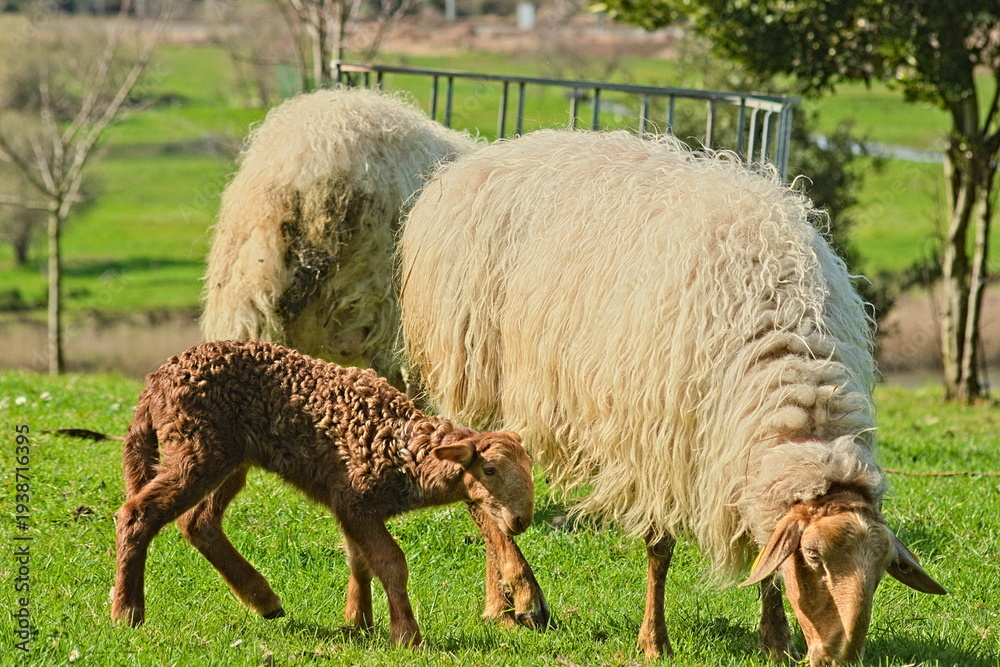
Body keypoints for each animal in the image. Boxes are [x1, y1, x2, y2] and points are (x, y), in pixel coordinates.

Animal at [110, 339, 534, 647]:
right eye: (489, 470)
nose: (521, 520)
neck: (404, 451)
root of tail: (154, 382)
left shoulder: (347, 505)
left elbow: (359, 561)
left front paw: (359, 622)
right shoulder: (356, 500)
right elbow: (391, 563)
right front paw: (406, 635)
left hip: (228, 458)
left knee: (198, 521)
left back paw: (264, 600)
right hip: (197, 447)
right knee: (138, 513)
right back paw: (127, 612)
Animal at [398, 129, 947, 665]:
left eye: (881, 568)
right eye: (813, 557)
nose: (838, 657)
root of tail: (480, 157)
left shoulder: (739, 457)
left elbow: (765, 555)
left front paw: (776, 640)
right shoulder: (659, 443)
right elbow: (660, 550)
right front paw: (654, 641)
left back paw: (498, 605)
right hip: (470, 370)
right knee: (478, 491)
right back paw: (525, 596)